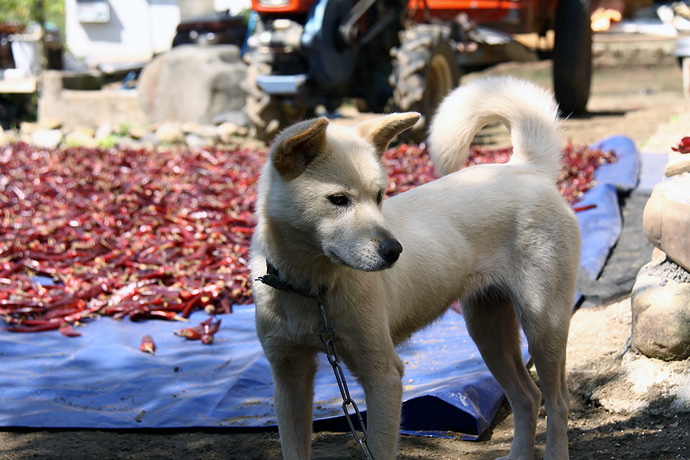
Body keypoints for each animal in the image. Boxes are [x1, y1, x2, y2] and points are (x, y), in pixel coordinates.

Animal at [250, 77, 576, 458]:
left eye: (379, 196)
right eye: (338, 200)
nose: (394, 251)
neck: (312, 291)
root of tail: (524, 167)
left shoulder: (383, 376)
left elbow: (379, 448)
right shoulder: (289, 379)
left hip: (543, 325)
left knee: (557, 402)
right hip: (488, 331)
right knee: (529, 397)